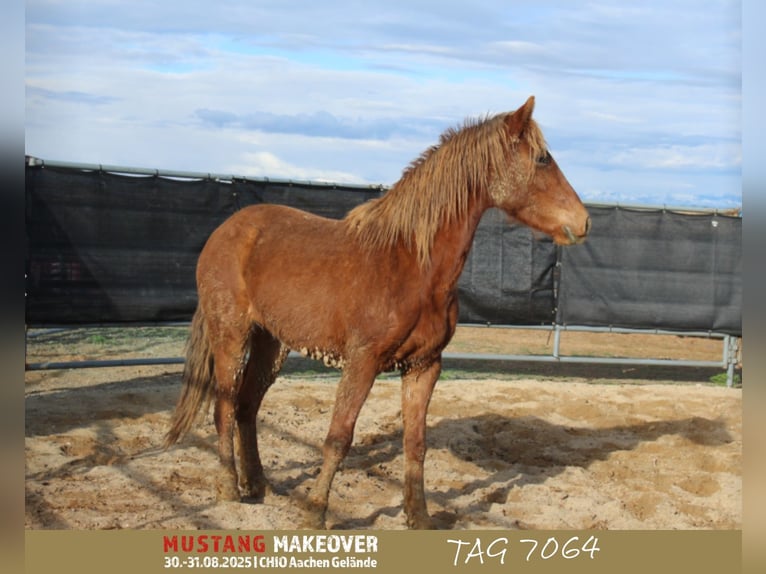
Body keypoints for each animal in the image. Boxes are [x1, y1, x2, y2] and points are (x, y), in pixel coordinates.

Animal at [165, 95, 592, 532]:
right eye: (542, 159)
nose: (583, 221)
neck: (410, 263)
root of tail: (225, 231)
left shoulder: (424, 366)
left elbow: (416, 443)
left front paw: (419, 517)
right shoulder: (362, 362)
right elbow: (338, 437)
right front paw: (315, 512)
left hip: (272, 343)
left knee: (247, 407)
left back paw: (258, 485)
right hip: (231, 336)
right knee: (225, 407)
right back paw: (229, 489)